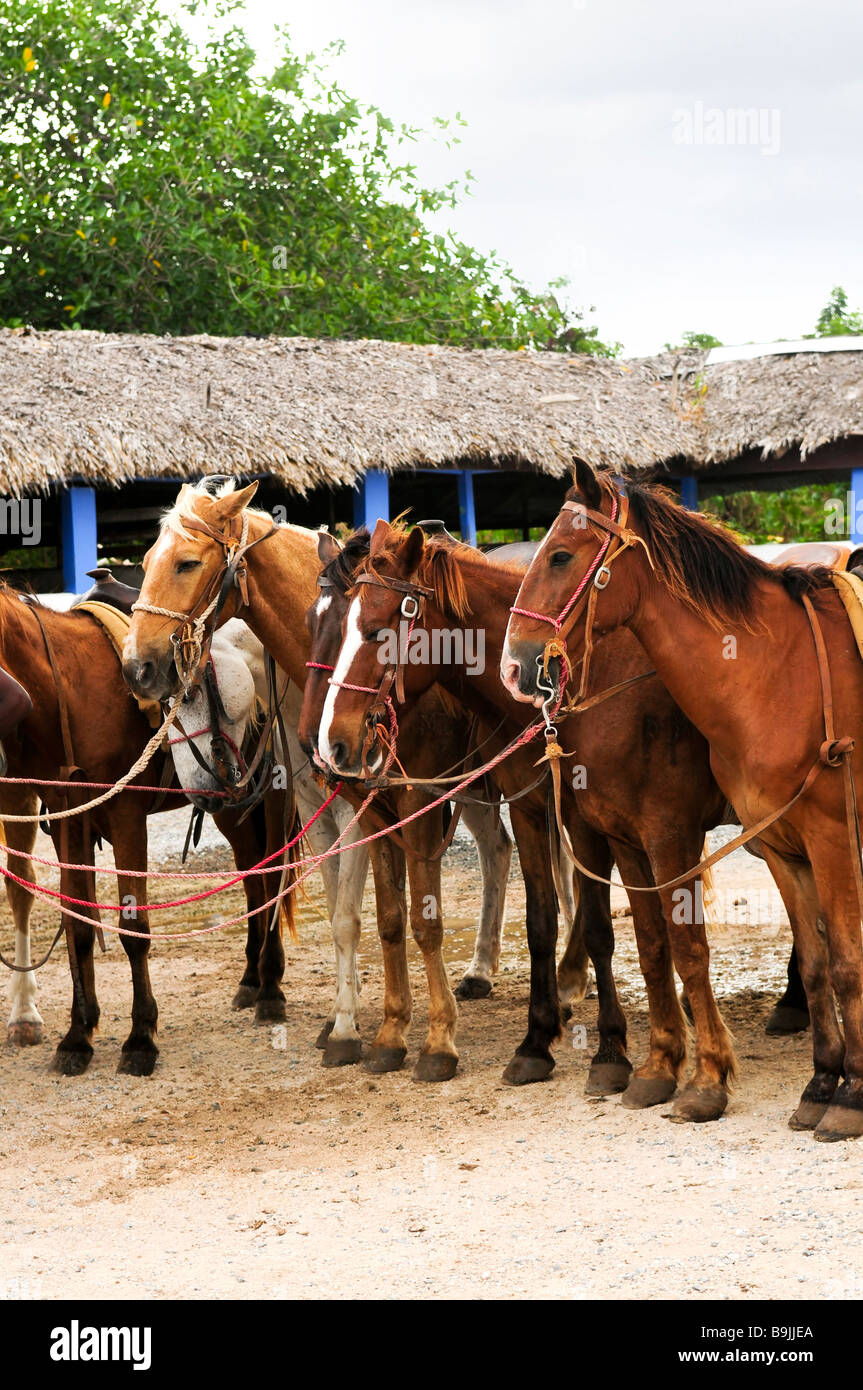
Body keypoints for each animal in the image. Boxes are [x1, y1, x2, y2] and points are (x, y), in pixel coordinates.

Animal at [500, 458, 861, 1139]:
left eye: (560, 555)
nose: (514, 666)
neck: (776, 673)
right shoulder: (764, 845)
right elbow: (802, 961)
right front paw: (819, 1082)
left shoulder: (810, 837)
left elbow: (822, 960)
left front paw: (721, 1081)